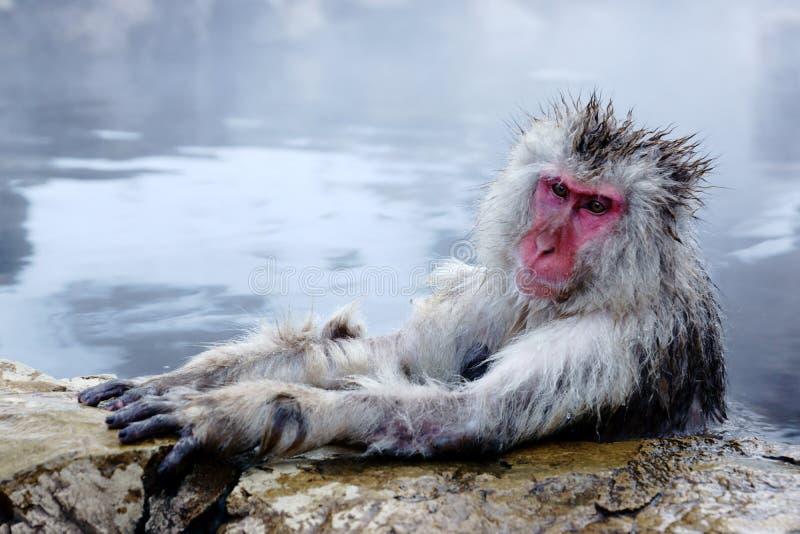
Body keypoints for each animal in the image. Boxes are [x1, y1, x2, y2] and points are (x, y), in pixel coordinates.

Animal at [78, 94, 726, 473]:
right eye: (559, 190)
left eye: (596, 207)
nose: (543, 246)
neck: (581, 296)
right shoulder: (501, 291)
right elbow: (396, 354)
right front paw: (176, 381)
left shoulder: (616, 343)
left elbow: (465, 419)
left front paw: (236, 414)